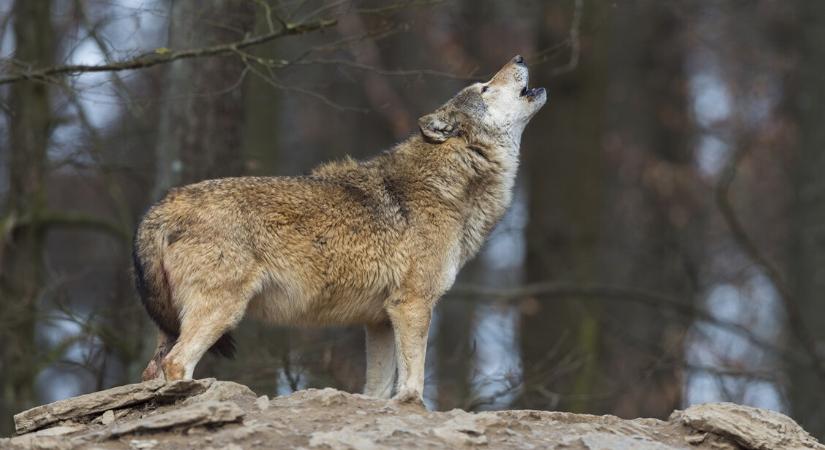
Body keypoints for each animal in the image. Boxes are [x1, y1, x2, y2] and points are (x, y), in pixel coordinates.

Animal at [134, 54, 548, 402]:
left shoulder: (380, 319)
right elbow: (412, 381)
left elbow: (377, 390)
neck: (451, 182)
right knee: (176, 362)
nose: (520, 57)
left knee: (150, 371)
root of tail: (162, 205)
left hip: (175, 323)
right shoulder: (412, 303)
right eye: (484, 88)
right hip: (221, 311)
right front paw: (414, 408)